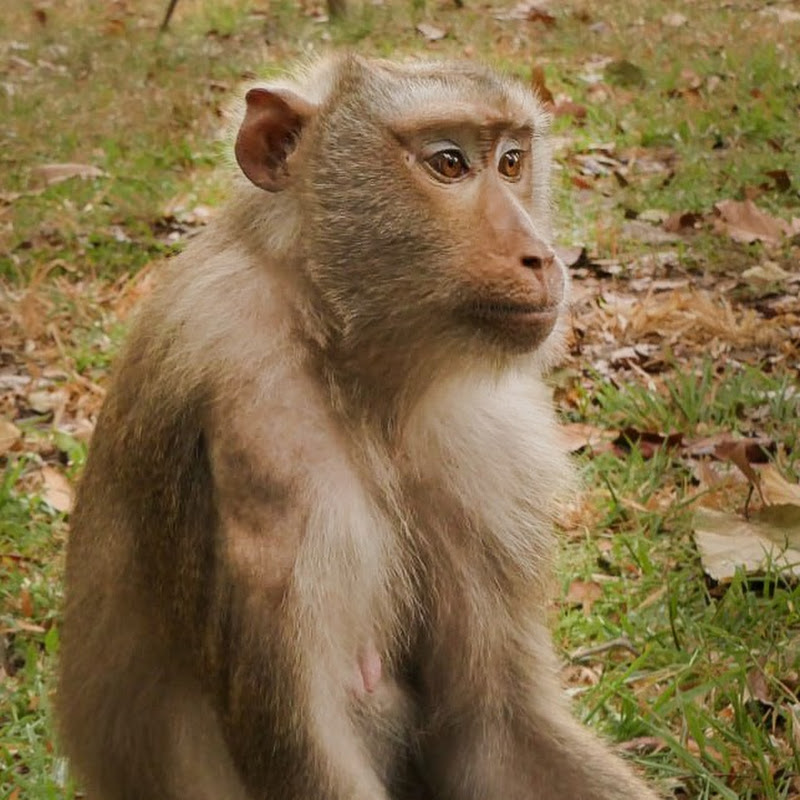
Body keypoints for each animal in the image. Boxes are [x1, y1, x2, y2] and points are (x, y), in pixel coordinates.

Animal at [57, 54, 661, 800]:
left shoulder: (488, 444)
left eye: (512, 160)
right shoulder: (256, 437)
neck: (336, 342)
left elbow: (491, 728)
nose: (542, 255)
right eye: (449, 163)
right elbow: (310, 751)